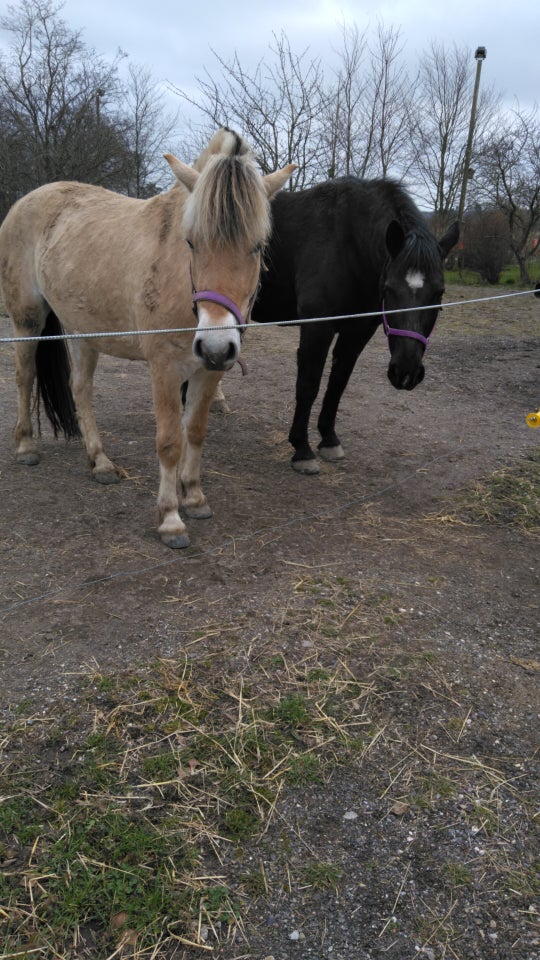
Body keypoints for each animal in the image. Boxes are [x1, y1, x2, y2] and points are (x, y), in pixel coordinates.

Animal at [1, 130, 296, 544]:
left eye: (256, 247)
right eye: (191, 242)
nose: (216, 344)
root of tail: (24, 202)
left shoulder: (209, 371)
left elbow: (196, 432)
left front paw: (194, 497)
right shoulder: (165, 369)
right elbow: (170, 441)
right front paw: (170, 517)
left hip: (83, 331)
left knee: (80, 389)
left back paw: (100, 462)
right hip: (26, 320)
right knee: (24, 377)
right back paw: (26, 445)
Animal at [251, 175, 458, 472]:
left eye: (439, 293)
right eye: (389, 288)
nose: (406, 372)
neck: (347, 243)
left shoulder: (358, 332)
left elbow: (338, 383)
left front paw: (329, 440)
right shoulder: (317, 327)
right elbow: (308, 384)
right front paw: (302, 449)